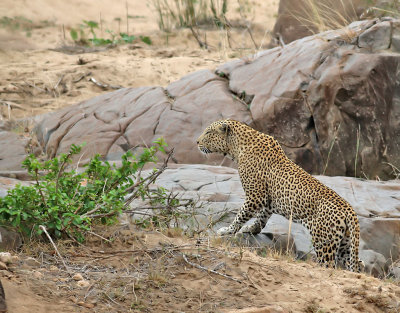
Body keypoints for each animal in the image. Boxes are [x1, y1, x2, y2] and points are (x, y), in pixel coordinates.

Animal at [197, 119, 362, 270]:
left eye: (208, 132)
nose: (197, 142)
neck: (237, 147)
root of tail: (349, 210)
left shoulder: (255, 196)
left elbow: (240, 215)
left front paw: (227, 230)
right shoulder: (266, 201)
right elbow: (261, 218)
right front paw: (251, 229)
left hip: (325, 242)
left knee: (329, 265)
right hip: (345, 243)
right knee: (358, 263)